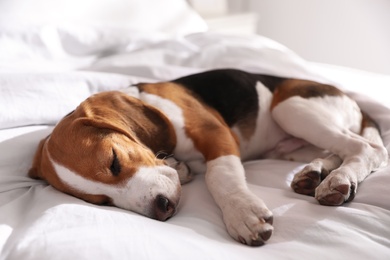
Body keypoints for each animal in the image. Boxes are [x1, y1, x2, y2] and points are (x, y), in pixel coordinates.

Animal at [28, 68, 386, 246]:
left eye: (114, 161)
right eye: (101, 202)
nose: (162, 208)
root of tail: (355, 102)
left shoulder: (217, 135)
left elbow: (220, 177)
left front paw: (242, 214)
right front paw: (178, 167)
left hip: (291, 108)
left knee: (368, 150)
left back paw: (337, 181)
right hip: (290, 144)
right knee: (336, 150)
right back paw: (312, 173)